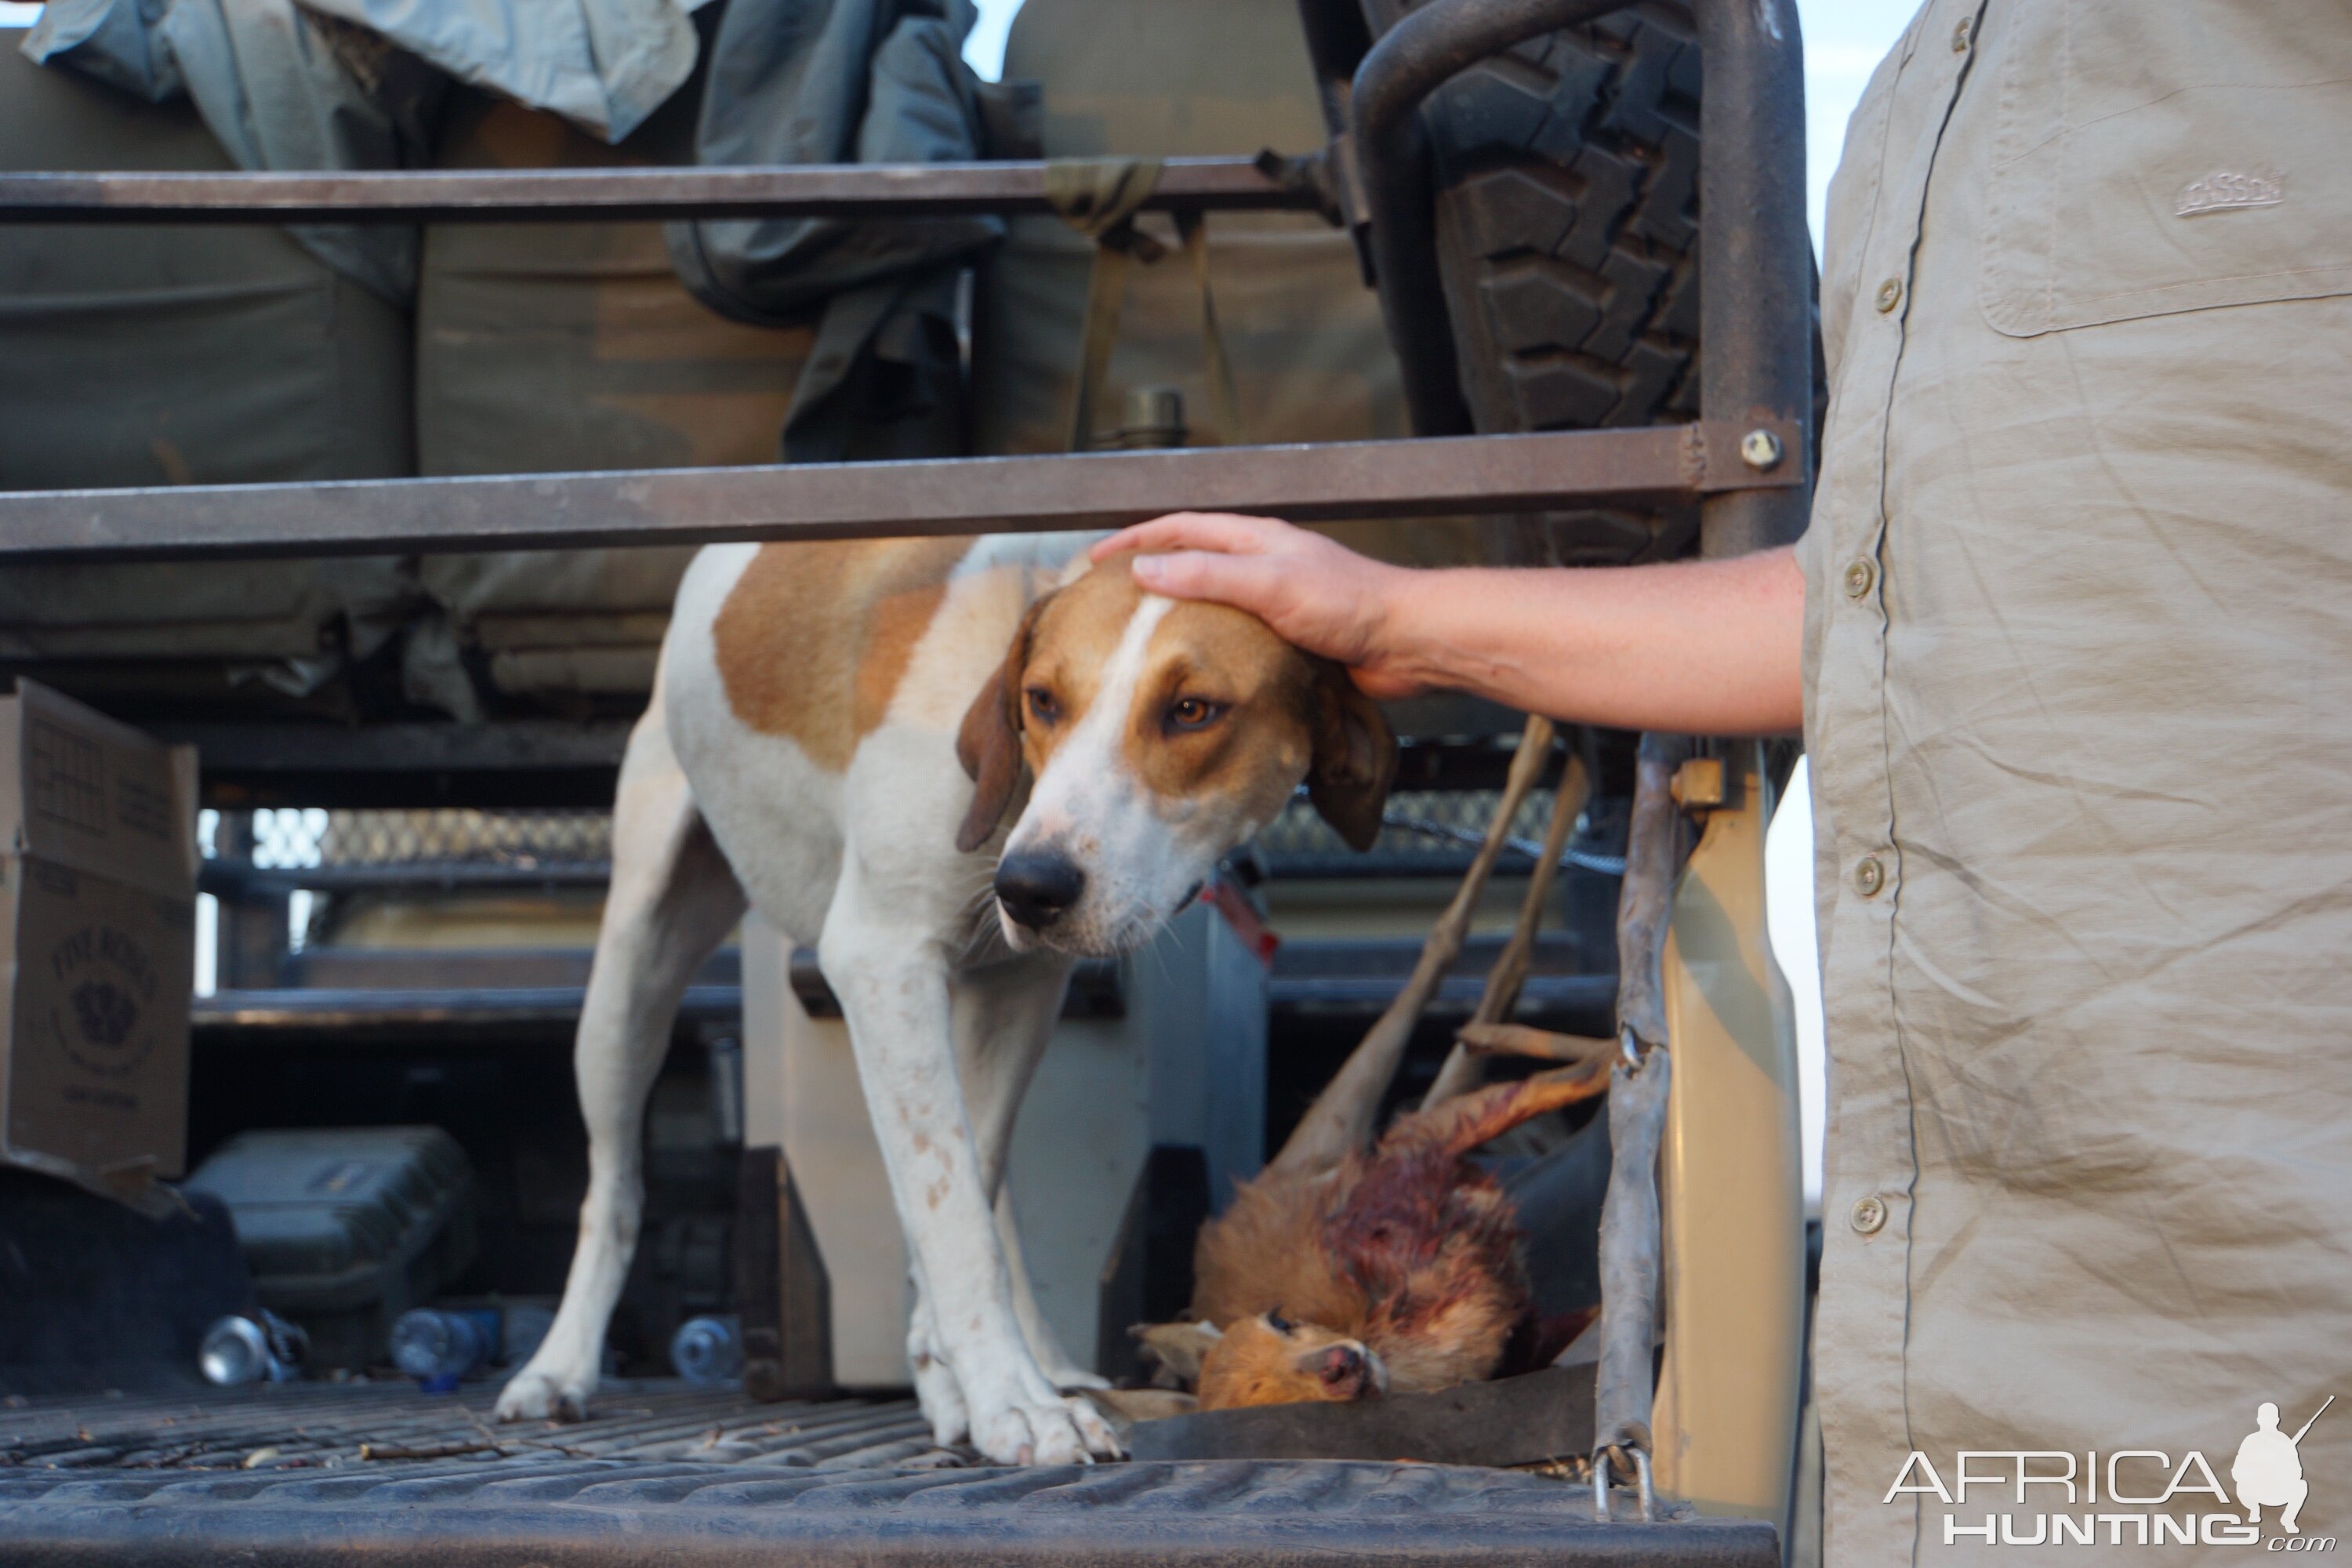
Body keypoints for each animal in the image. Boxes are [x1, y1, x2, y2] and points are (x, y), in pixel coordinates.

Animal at [487, 533, 1383, 1467]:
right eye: (1042, 700)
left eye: (1193, 710)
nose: (1031, 889)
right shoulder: (880, 958)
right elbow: (954, 1219)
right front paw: (1011, 1398)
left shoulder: (1022, 987)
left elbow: (963, 1199)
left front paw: (965, 1371)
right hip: (631, 979)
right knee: (613, 1190)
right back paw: (558, 1368)